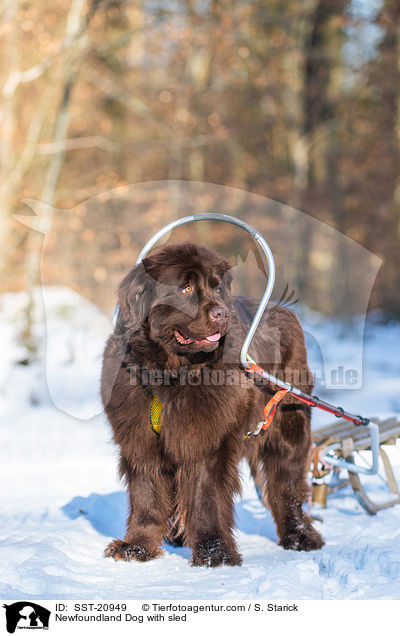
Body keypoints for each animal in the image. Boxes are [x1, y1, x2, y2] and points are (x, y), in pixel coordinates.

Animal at [101, 241, 324, 564]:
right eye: (186, 288)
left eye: (217, 288)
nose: (222, 314)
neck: (168, 378)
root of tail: (284, 310)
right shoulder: (140, 440)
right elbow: (146, 494)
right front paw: (137, 546)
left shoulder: (206, 441)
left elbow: (204, 496)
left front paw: (214, 554)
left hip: (288, 422)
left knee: (288, 484)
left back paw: (300, 537)